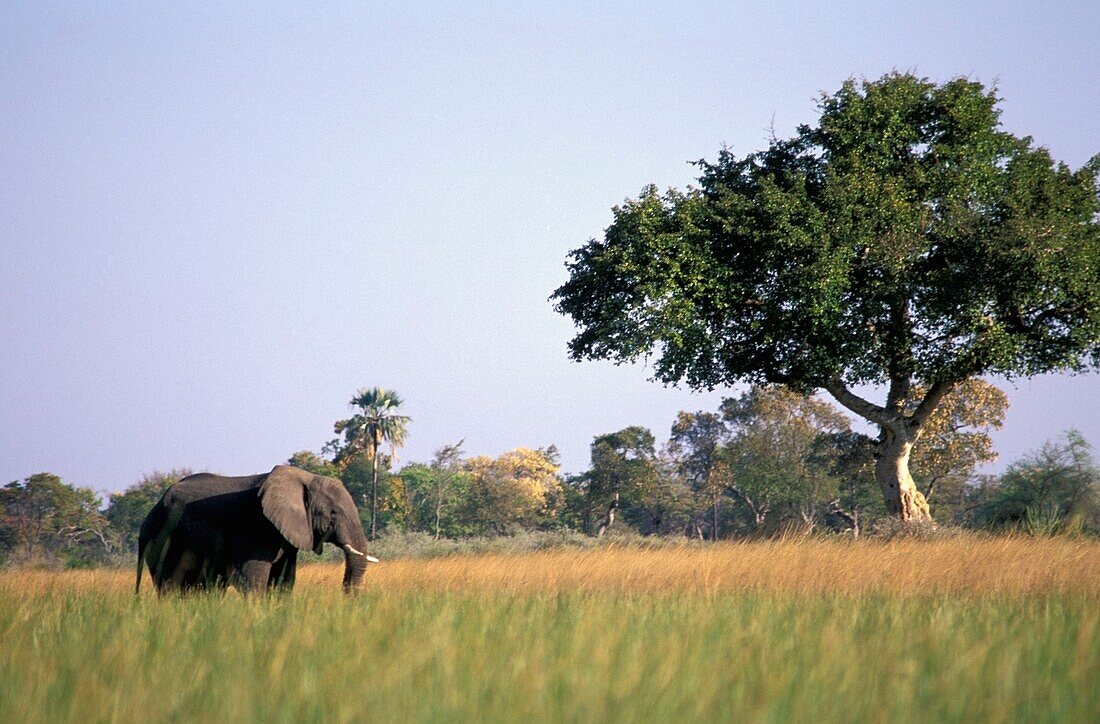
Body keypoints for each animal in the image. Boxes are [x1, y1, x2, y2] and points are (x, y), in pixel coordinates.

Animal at [132, 462, 374, 594]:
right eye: (333, 513)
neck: (306, 477)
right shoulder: (254, 526)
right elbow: (251, 578)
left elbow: (284, 579)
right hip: (162, 538)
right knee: (171, 586)